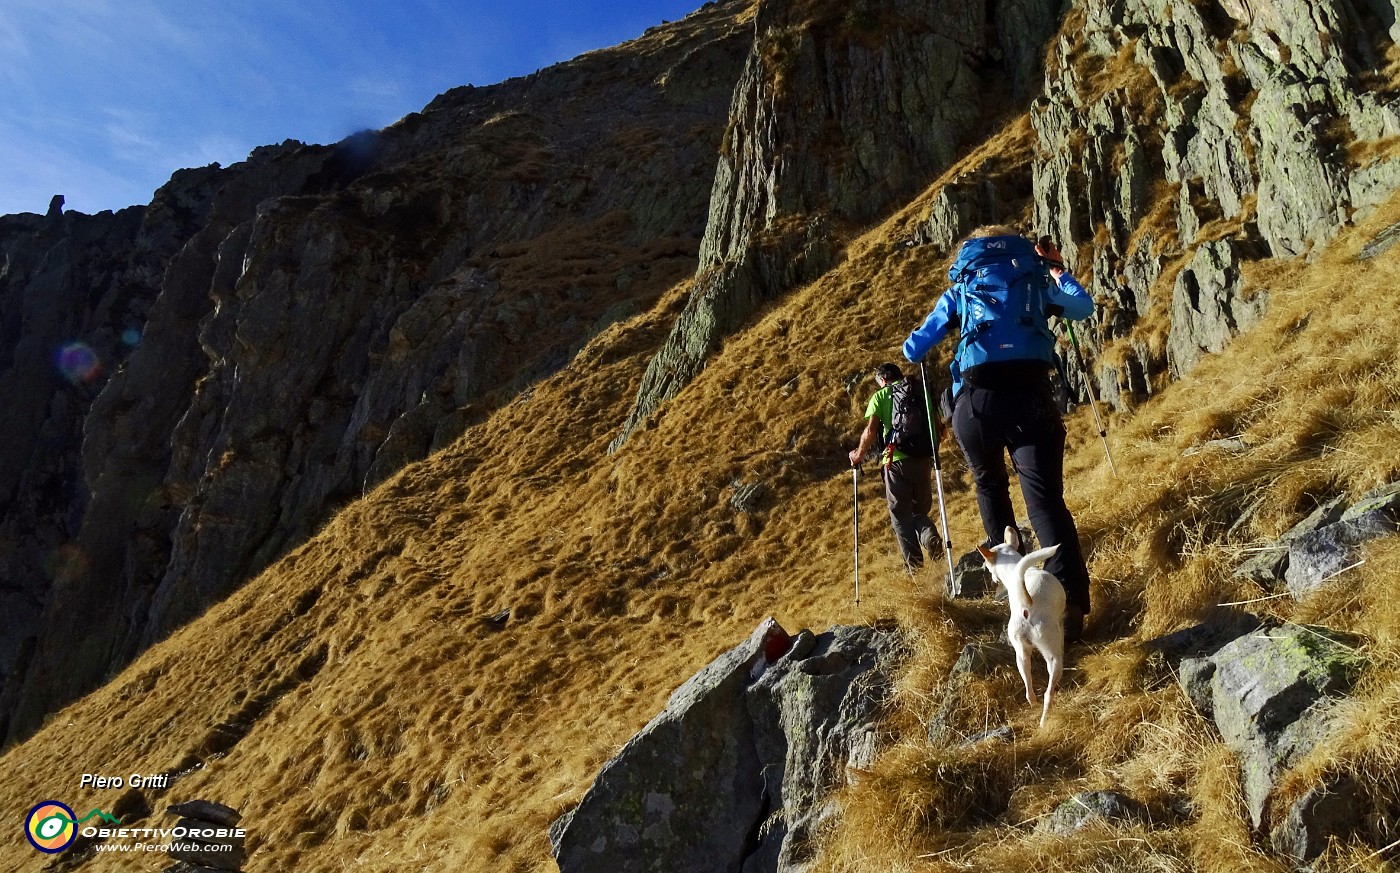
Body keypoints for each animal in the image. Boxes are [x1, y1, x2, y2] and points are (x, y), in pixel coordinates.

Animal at [980, 528, 1064, 727]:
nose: (993, 579)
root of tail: (1026, 607)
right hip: (1053, 655)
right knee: (1048, 693)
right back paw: (1044, 721)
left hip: (1020, 654)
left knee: (1028, 690)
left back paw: (1034, 704)